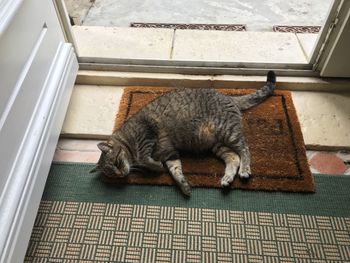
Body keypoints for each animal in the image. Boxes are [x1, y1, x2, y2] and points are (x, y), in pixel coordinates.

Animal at [90, 70, 276, 196]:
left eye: (116, 162)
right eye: (111, 174)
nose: (121, 173)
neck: (126, 140)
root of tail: (229, 97)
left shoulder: (146, 134)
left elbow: (145, 158)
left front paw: (155, 166)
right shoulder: (170, 154)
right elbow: (176, 171)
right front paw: (184, 186)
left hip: (227, 131)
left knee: (245, 150)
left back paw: (244, 170)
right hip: (218, 144)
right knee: (233, 157)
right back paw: (227, 178)